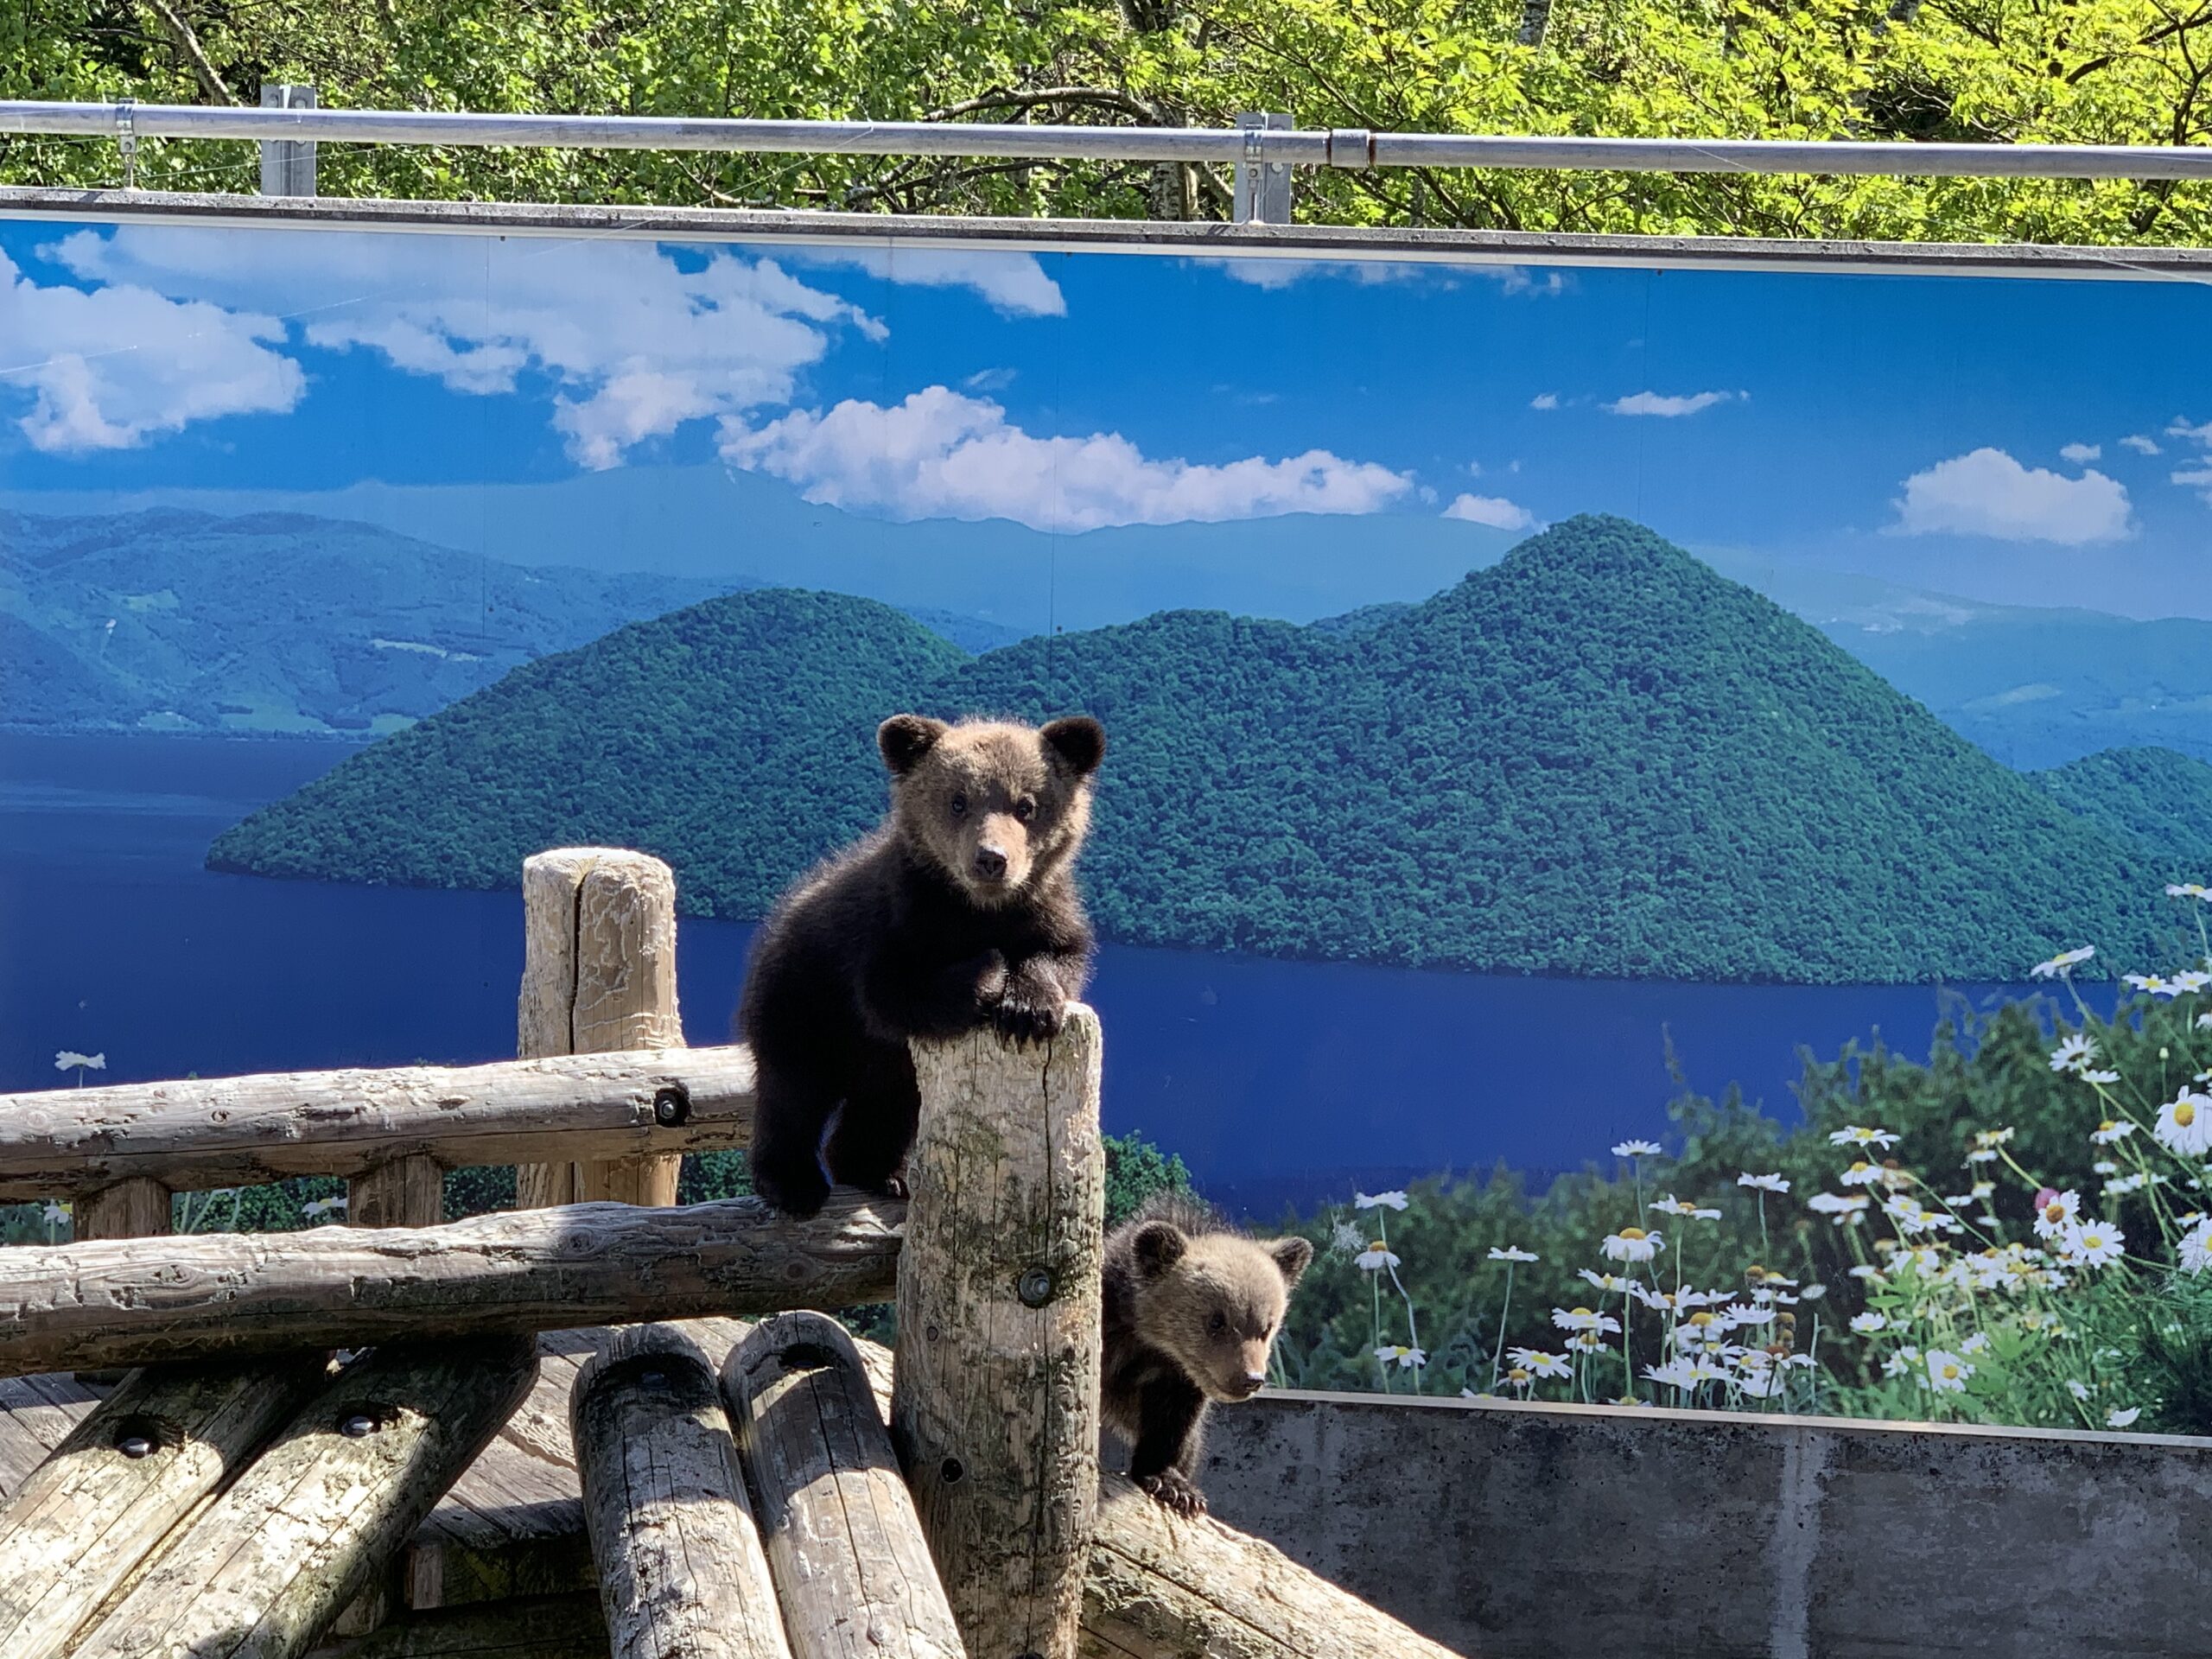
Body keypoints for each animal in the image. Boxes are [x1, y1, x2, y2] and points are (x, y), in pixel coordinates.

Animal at [735, 711, 1106, 1219]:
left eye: (1026, 804)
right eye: (957, 800)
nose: (992, 859)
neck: (979, 911)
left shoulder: (1046, 911)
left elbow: (1061, 956)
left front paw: (1027, 1010)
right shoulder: (898, 922)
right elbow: (893, 991)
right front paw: (989, 973)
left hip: (884, 1063)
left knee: (887, 1107)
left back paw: (879, 1173)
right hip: (802, 999)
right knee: (793, 1090)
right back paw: (793, 1183)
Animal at [1101, 1191, 1314, 1517]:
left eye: (1266, 1327)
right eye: (1216, 1320)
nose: (1250, 1378)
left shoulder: (1175, 1379)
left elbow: (1173, 1428)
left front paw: (1174, 1484)